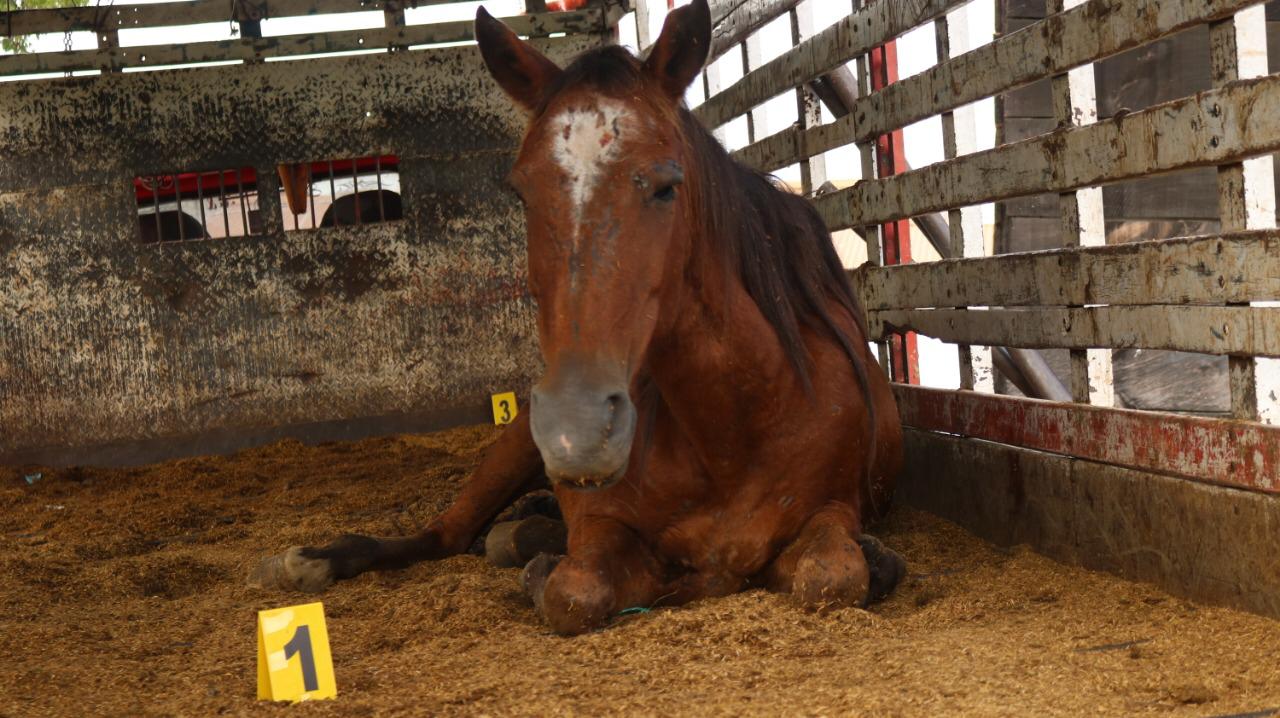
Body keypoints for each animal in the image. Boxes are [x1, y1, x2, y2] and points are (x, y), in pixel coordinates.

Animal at [251, 0, 905, 636]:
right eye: (521, 192)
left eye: (667, 186)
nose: (578, 429)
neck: (737, 421)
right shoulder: (598, 523)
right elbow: (575, 593)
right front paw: (544, 570)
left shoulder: (832, 511)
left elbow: (833, 577)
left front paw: (874, 561)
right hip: (514, 445)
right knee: (446, 535)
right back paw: (326, 558)